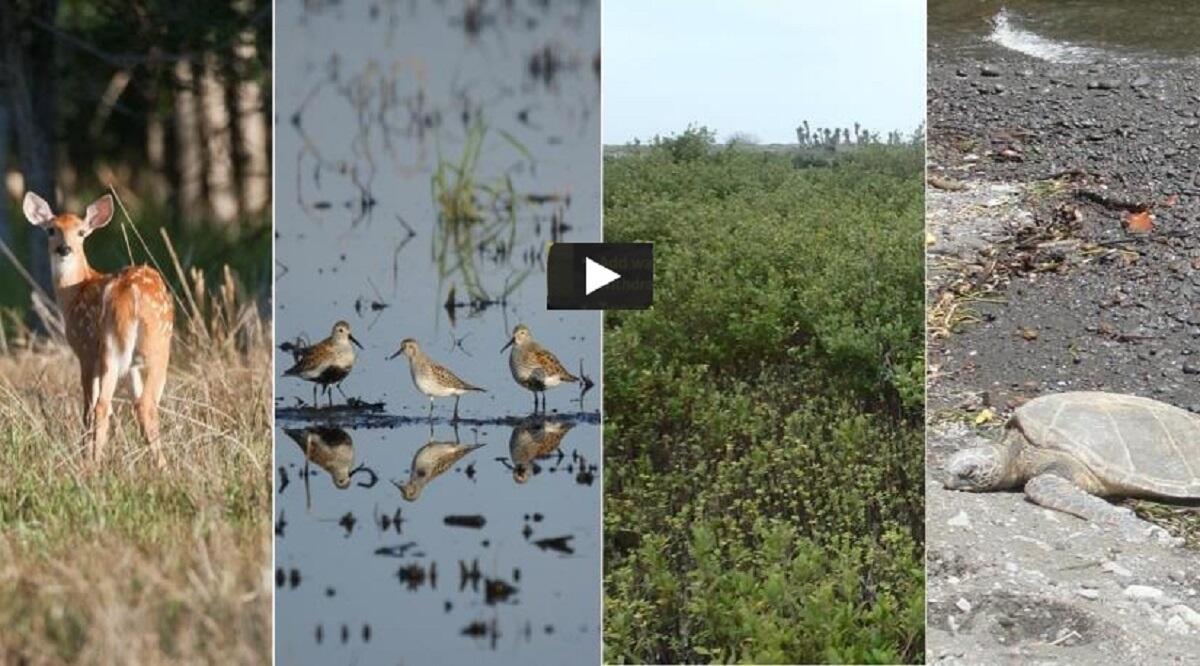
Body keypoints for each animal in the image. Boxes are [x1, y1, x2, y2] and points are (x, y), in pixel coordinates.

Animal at [23, 191, 175, 469]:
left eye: (81, 232)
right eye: (51, 230)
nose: (64, 249)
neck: (74, 292)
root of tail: (131, 295)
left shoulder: (86, 351)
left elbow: (90, 406)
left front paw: (87, 453)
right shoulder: (107, 357)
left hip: (128, 349)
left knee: (110, 405)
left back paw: (96, 464)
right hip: (139, 348)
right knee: (134, 405)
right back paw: (156, 466)